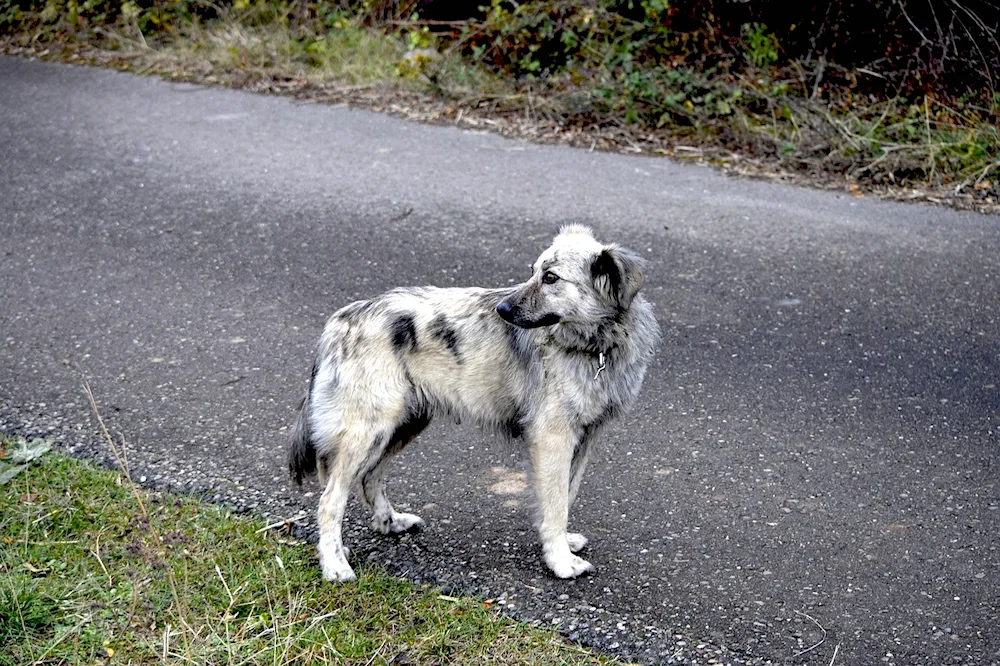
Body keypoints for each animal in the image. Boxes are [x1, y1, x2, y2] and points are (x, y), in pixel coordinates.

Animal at [290, 226, 660, 580]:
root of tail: (340, 320)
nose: (502, 310)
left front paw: (562, 545)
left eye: (551, 278)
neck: (598, 344)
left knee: (370, 477)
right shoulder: (553, 438)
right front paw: (560, 562)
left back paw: (388, 523)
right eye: (533, 272)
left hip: (402, 425)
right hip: (369, 431)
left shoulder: (585, 438)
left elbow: (566, 496)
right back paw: (334, 565)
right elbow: (555, 504)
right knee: (330, 501)